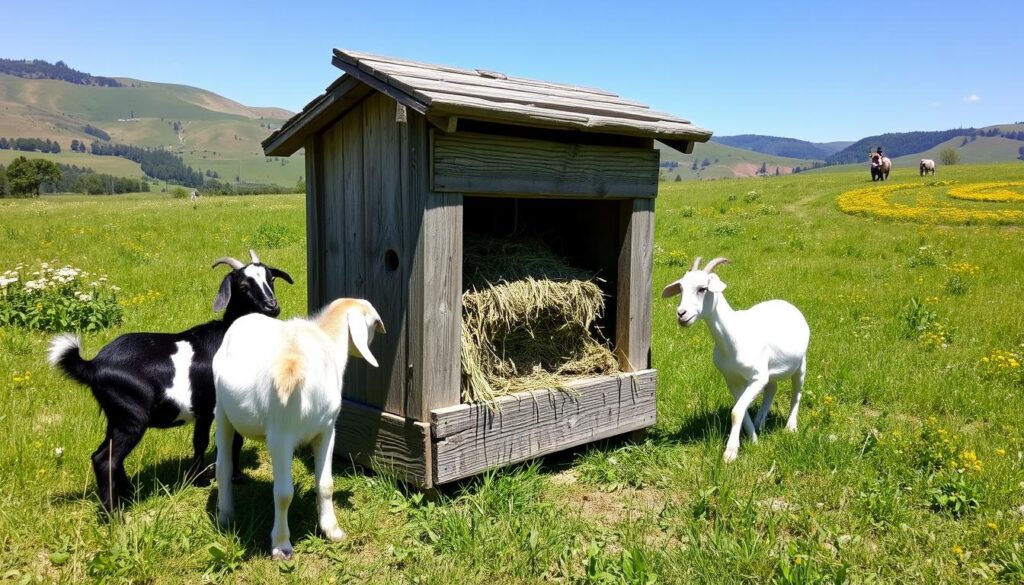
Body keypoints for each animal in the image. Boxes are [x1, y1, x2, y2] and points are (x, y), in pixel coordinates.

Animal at [49, 252, 294, 512]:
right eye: (244, 287)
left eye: (271, 279)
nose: (272, 307)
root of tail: (93, 365)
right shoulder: (213, 407)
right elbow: (211, 442)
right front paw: (208, 479)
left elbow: (224, 442)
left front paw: (225, 476)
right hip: (131, 415)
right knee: (104, 458)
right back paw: (114, 512)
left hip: (116, 415)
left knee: (111, 454)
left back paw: (128, 492)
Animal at [211, 299, 385, 561]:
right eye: (375, 323)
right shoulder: (282, 437)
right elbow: (283, 493)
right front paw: (281, 545)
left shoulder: (326, 431)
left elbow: (326, 484)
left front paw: (332, 530)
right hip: (222, 411)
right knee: (223, 466)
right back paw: (226, 516)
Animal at [663, 256, 806, 463]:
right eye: (680, 288)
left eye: (702, 288)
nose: (682, 314)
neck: (734, 335)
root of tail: (787, 304)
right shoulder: (732, 380)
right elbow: (742, 411)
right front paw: (753, 440)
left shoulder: (757, 377)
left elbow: (736, 411)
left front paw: (730, 453)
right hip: (770, 370)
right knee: (772, 388)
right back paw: (760, 422)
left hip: (801, 363)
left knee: (797, 392)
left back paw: (791, 427)